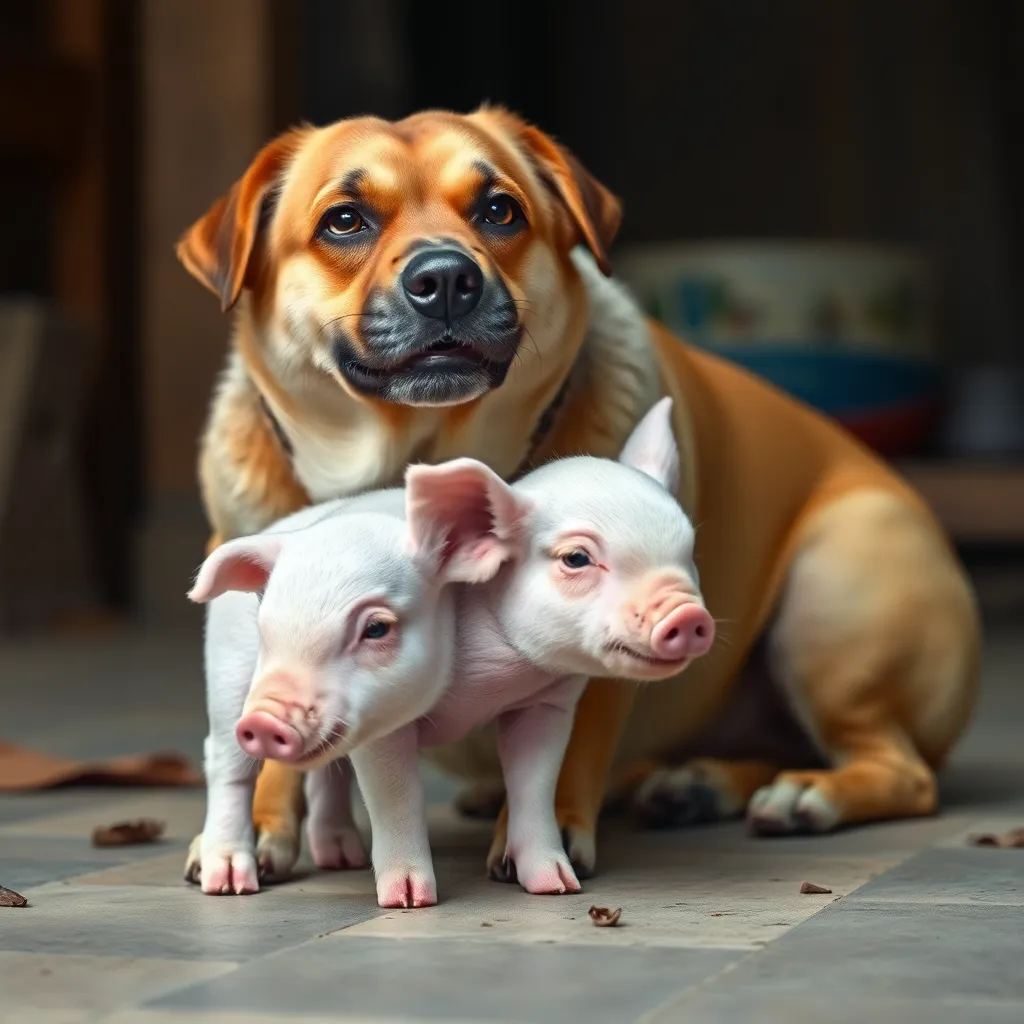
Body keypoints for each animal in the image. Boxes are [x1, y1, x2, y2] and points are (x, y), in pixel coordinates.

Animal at [186, 397, 714, 907]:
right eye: (577, 558)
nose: (687, 615)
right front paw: (409, 901)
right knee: (226, 762)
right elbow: (398, 800)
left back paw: (341, 859)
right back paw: (227, 882)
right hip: (228, 673)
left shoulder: (545, 703)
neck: (490, 680)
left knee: (327, 772)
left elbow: (533, 786)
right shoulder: (385, 718)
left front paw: (557, 886)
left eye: (688, 552)